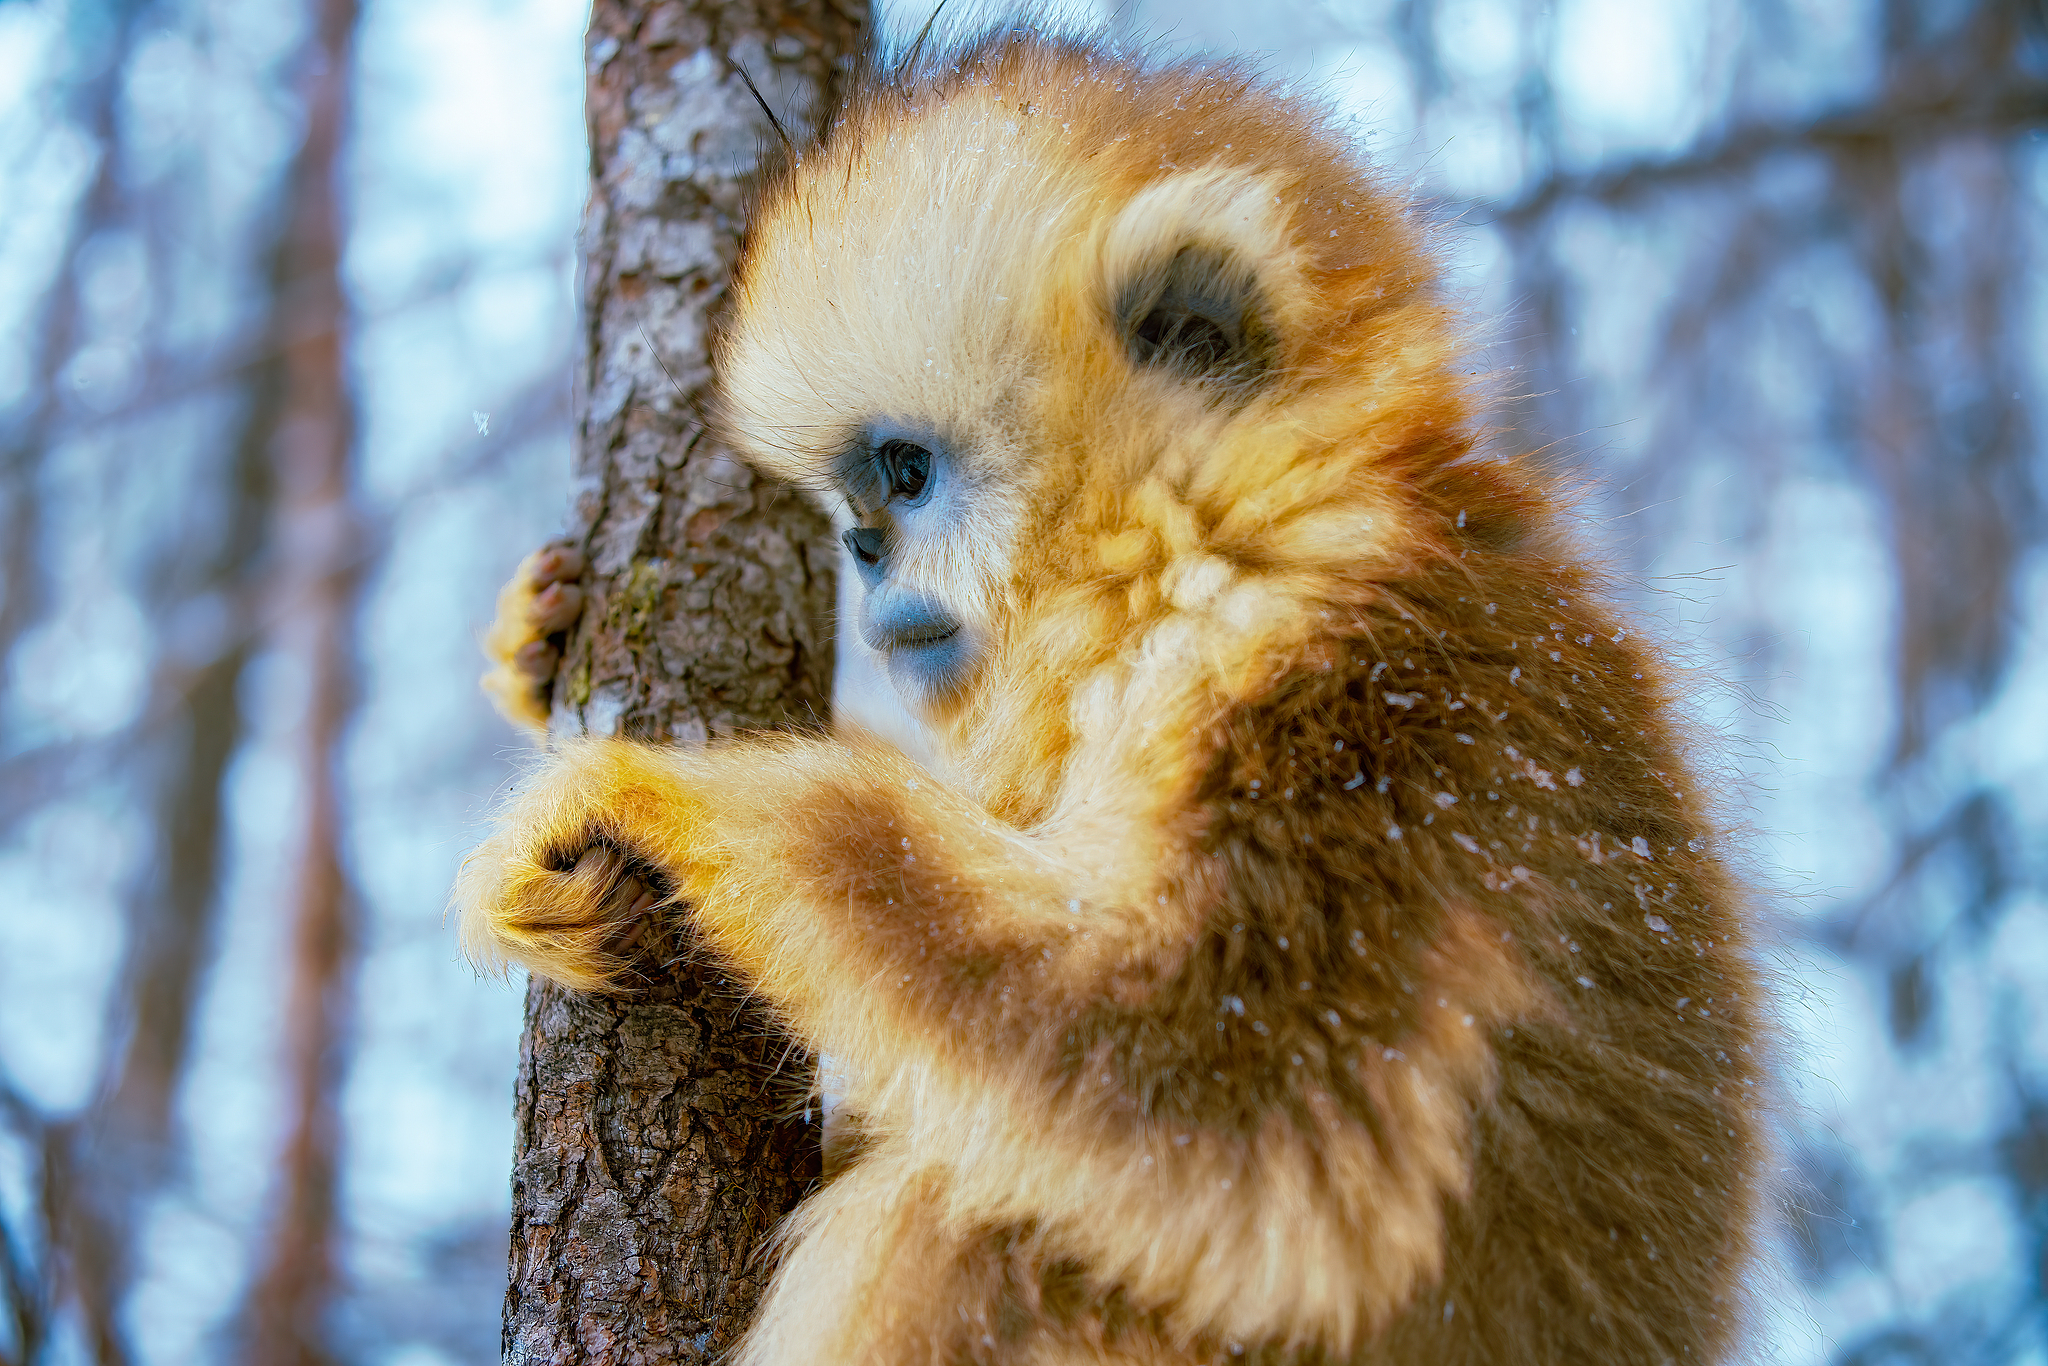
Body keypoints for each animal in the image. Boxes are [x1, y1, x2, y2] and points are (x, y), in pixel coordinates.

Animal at [460, 29, 1770, 1366]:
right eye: (856, 500)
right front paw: (535, 648)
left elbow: (1231, 1097)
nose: (864, 550)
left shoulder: (1354, 704)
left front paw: (659, 794)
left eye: (904, 473)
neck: (1219, 553)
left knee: (950, 1218)